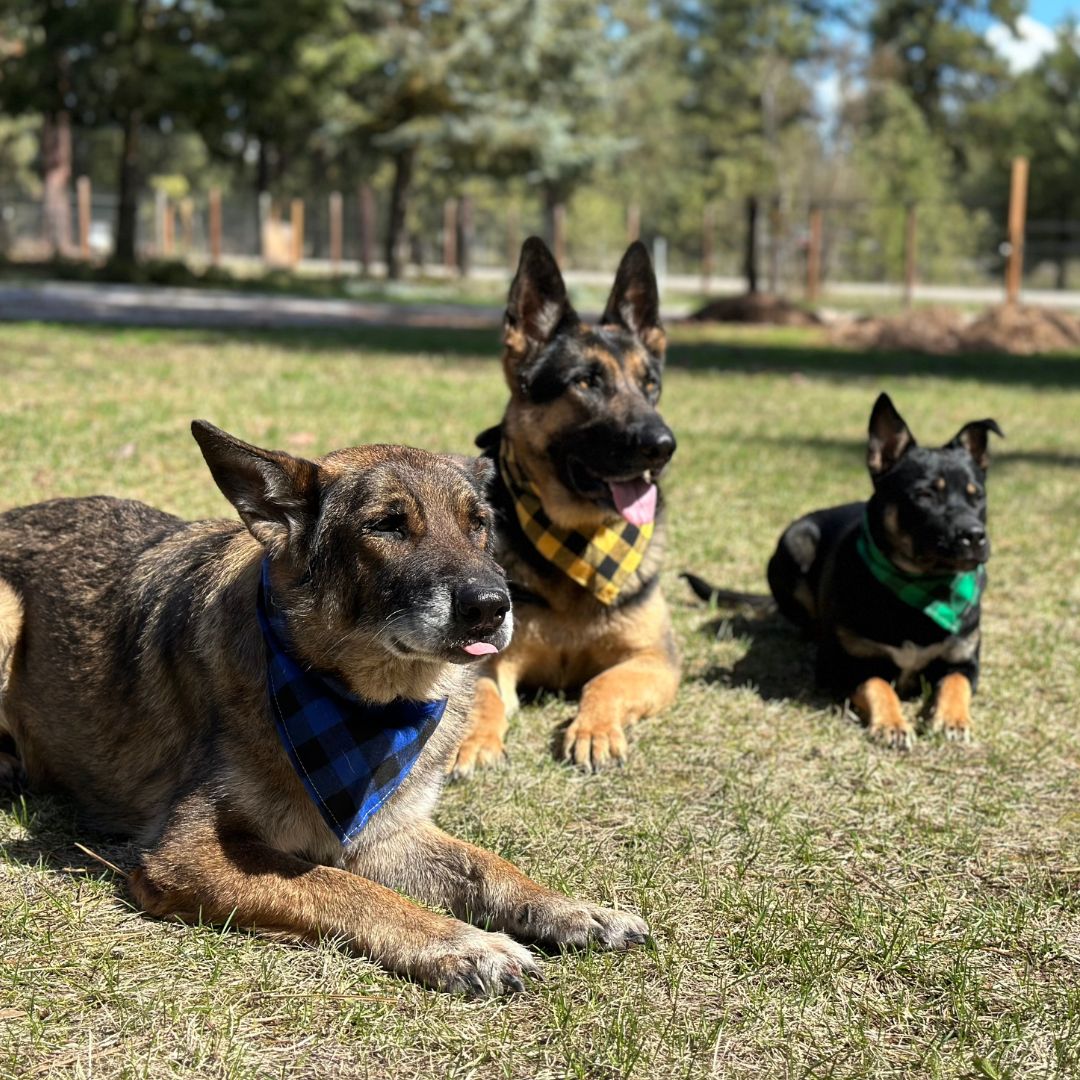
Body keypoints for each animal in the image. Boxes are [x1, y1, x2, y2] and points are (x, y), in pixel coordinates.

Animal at [0, 421, 643, 993]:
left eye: (478, 524)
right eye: (387, 525)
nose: (492, 606)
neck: (358, 704)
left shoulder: (387, 832)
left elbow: (489, 866)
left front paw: (570, 908)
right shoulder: (186, 855)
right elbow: (338, 884)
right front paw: (461, 943)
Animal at [451, 240, 678, 777]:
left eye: (650, 384)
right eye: (586, 382)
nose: (662, 446)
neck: (583, 542)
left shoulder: (654, 659)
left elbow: (604, 681)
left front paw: (594, 731)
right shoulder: (488, 658)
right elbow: (484, 694)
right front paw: (474, 740)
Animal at [686, 395, 997, 751]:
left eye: (978, 496)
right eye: (925, 495)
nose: (974, 536)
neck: (920, 590)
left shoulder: (963, 660)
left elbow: (956, 683)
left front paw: (953, 720)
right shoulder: (841, 665)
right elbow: (878, 684)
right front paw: (892, 724)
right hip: (797, 541)